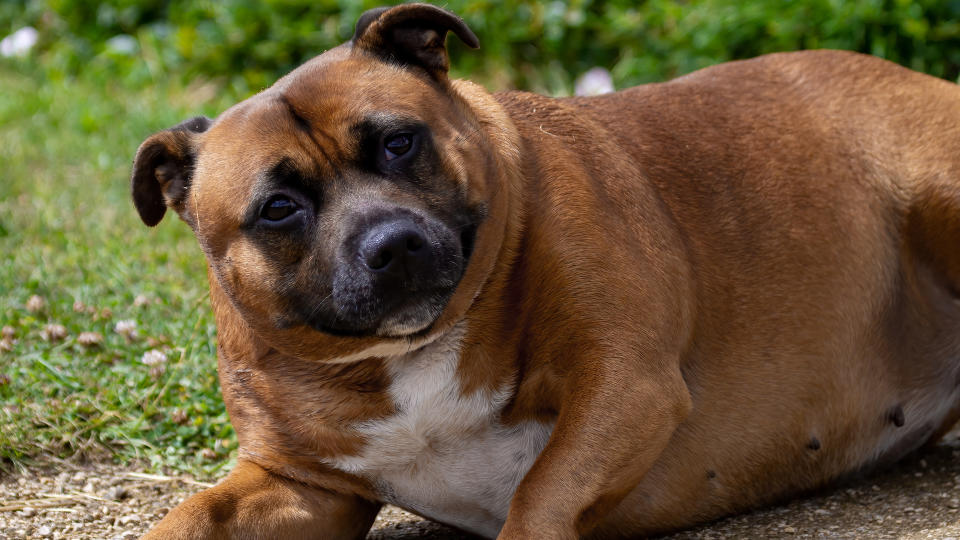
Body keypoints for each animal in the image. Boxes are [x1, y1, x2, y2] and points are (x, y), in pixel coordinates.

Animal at [131, 5, 960, 540]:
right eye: (277, 208)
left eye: (400, 142)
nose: (392, 243)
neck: (407, 354)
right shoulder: (302, 487)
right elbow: (193, 514)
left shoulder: (625, 385)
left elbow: (541, 495)